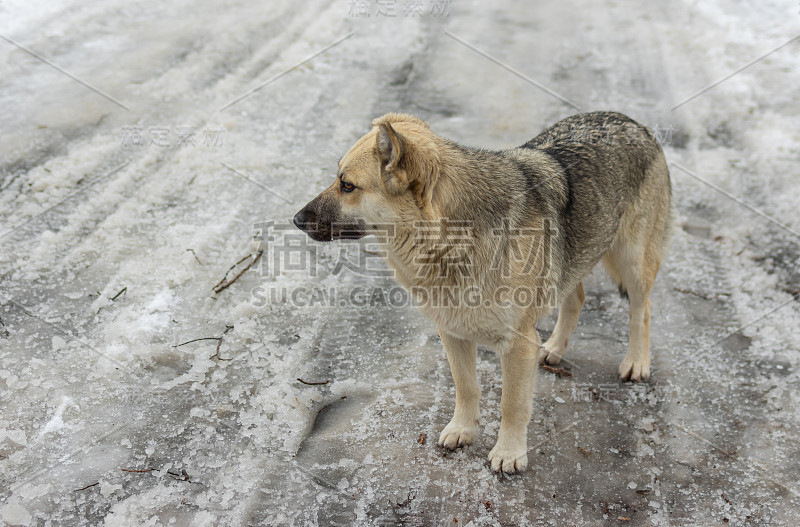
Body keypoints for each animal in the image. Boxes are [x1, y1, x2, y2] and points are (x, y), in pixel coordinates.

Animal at [292, 111, 668, 474]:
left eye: (347, 185)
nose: (295, 219)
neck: (450, 239)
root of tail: (633, 123)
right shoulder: (452, 332)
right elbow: (466, 386)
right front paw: (463, 429)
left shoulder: (517, 345)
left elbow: (512, 403)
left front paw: (509, 452)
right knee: (576, 298)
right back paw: (555, 348)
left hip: (632, 260)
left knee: (643, 310)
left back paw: (636, 361)